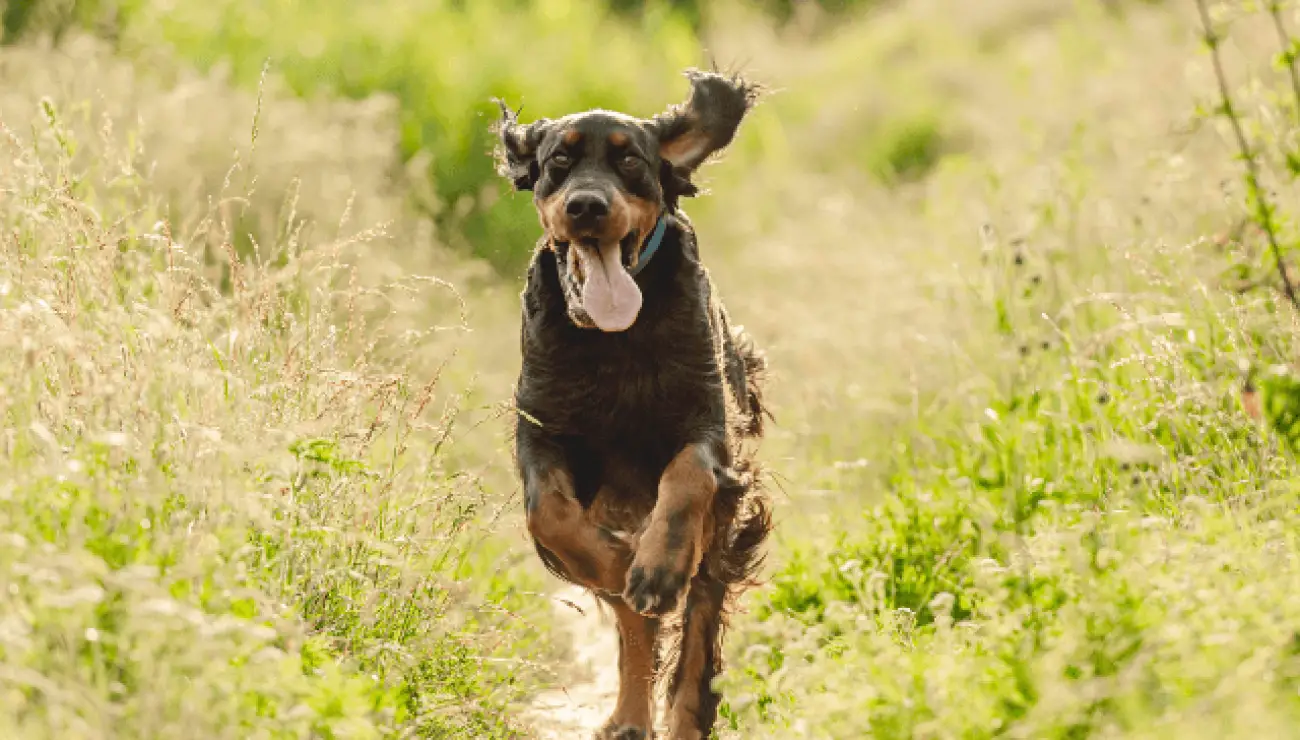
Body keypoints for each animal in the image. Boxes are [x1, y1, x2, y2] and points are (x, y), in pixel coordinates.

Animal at [491, 70, 764, 738]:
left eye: (631, 161)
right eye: (558, 161)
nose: (587, 206)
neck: (614, 338)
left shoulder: (709, 427)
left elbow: (688, 476)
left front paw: (656, 569)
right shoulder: (542, 428)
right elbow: (549, 513)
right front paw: (620, 564)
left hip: (722, 539)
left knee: (696, 634)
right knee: (634, 628)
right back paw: (629, 714)